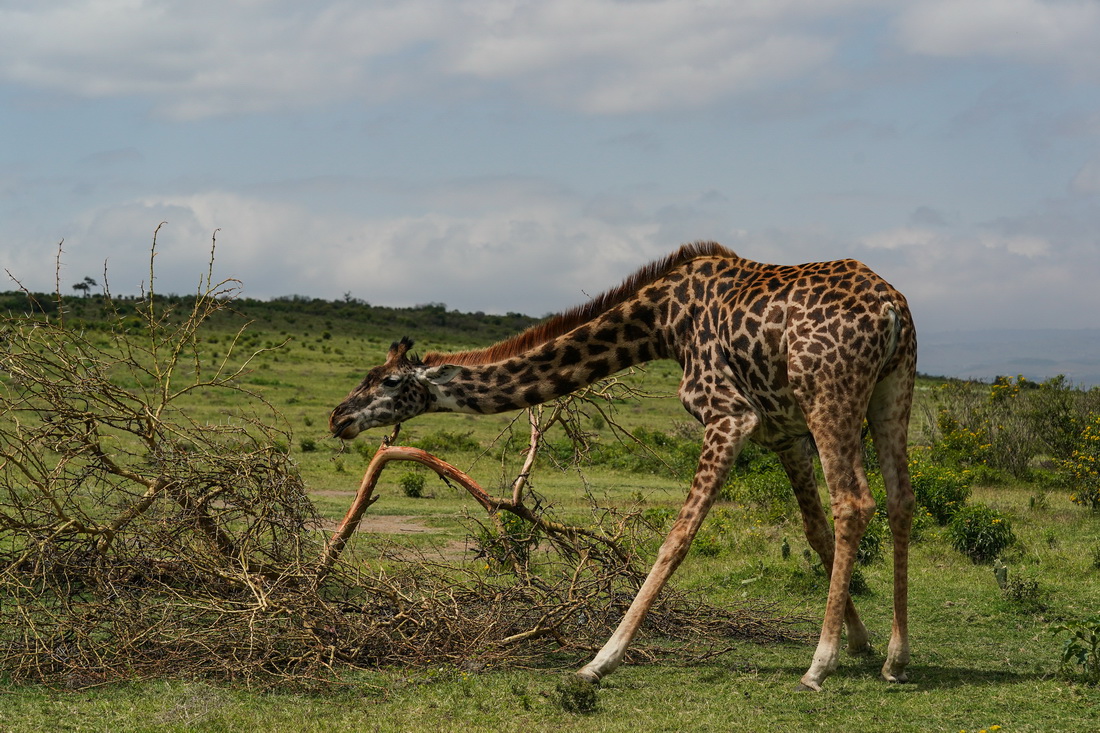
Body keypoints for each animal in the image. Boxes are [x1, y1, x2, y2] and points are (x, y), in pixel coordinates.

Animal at [330, 241, 915, 691]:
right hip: (891, 389)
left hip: (828, 393)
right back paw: (896, 657)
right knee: (899, 500)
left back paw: (817, 667)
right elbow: (814, 532)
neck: (665, 323)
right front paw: (860, 640)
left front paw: (599, 661)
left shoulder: (729, 415)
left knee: (855, 501)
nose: (339, 417)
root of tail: (890, 307)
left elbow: (677, 536)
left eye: (388, 381)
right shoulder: (784, 433)